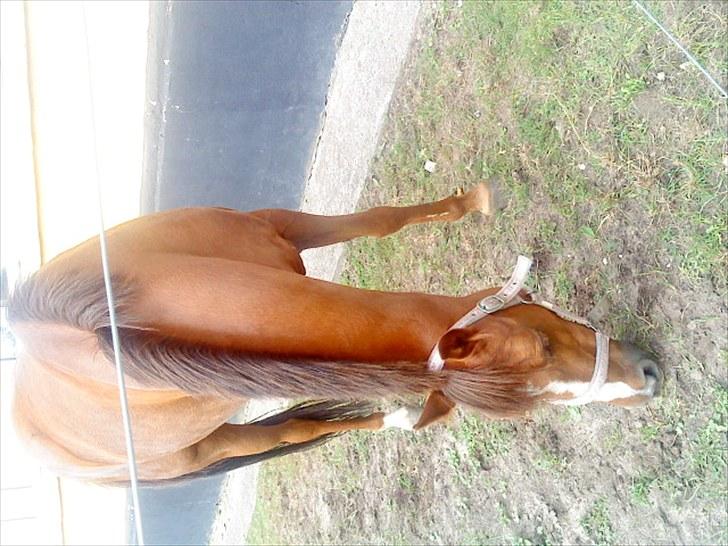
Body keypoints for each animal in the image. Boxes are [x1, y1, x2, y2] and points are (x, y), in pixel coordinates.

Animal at [8, 182, 662, 484]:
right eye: (540, 342)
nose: (649, 378)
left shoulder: (277, 227)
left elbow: (378, 221)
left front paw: (470, 202)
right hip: (211, 447)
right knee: (296, 430)